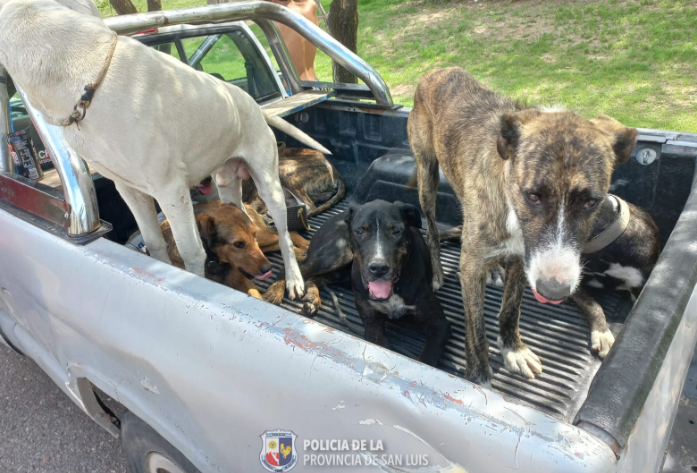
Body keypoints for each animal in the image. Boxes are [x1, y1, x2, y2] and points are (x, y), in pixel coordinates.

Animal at [0, 0, 328, 296]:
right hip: (226, 185)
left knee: (284, 234)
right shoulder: (130, 190)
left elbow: (191, 251)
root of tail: (254, 106)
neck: (87, 78)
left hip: (268, 182)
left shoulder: (171, 190)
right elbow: (156, 243)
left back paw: (294, 279)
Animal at [266, 199, 452, 366]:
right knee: (295, 268)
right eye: (360, 231)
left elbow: (428, 359)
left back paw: (312, 298)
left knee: (315, 278)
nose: (378, 268)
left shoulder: (439, 324)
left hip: (342, 272)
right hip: (338, 253)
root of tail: (333, 218)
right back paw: (275, 291)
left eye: (397, 231)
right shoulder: (372, 321)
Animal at [410, 66, 640, 384]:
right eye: (533, 196)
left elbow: (511, 309)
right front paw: (478, 375)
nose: (555, 292)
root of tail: (437, 71)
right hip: (427, 174)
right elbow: (476, 329)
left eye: (591, 202)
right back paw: (437, 270)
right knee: (431, 229)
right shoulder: (470, 268)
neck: (512, 208)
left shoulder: (523, 259)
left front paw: (513, 349)